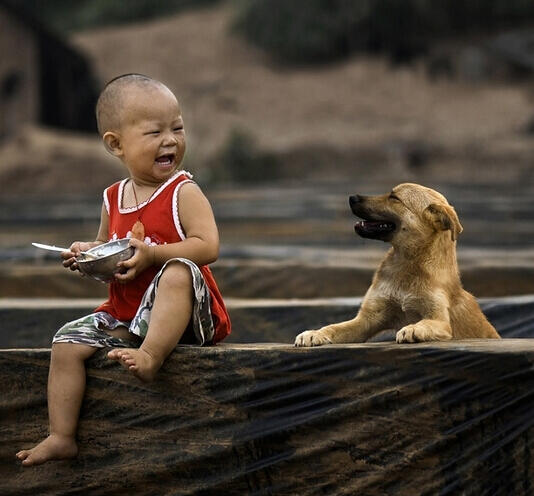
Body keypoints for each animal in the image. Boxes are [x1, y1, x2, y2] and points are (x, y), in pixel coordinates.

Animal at [298, 182, 502, 344]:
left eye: (394, 197)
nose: (352, 197)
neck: (406, 264)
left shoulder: (440, 321)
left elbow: (425, 323)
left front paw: (414, 329)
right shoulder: (366, 320)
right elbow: (334, 327)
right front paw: (315, 333)